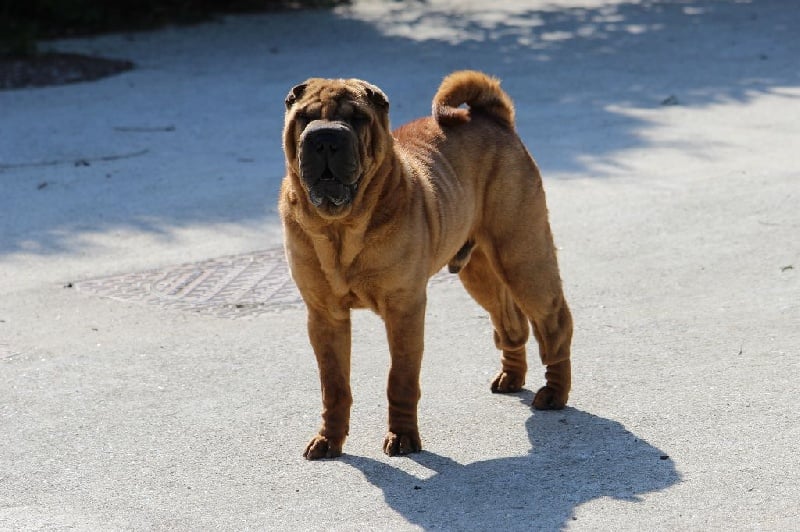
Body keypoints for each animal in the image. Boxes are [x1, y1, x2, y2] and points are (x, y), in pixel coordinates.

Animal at [279, 71, 573, 459]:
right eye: (305, 117)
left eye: (357, 118)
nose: (325, 138)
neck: (340, 228)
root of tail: (492, 118)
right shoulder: (325, 316)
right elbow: (334, 385)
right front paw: (329, 439)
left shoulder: (404, 308)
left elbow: (400, 379)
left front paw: (403, 437)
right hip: (478, 271)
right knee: (510, 322)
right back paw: (511, 378)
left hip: (523, 257)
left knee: (554, 324)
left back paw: (554, 392)